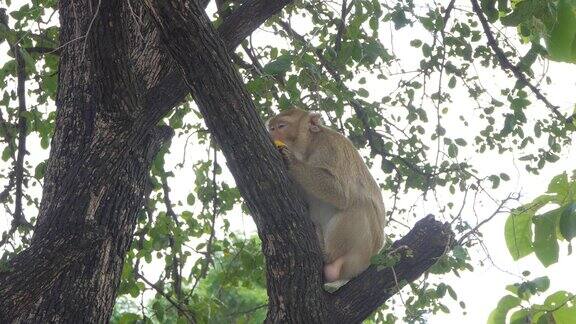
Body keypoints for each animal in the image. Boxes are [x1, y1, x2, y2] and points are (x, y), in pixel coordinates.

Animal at [266, 107, 388, 282]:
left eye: (281, 126)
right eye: (272, 128)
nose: (272, 134)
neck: (307, 148)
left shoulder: (330, 146)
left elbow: (340, 193)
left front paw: (291, 160)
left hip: (360, 254)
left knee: (359, 203)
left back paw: (327, 254)